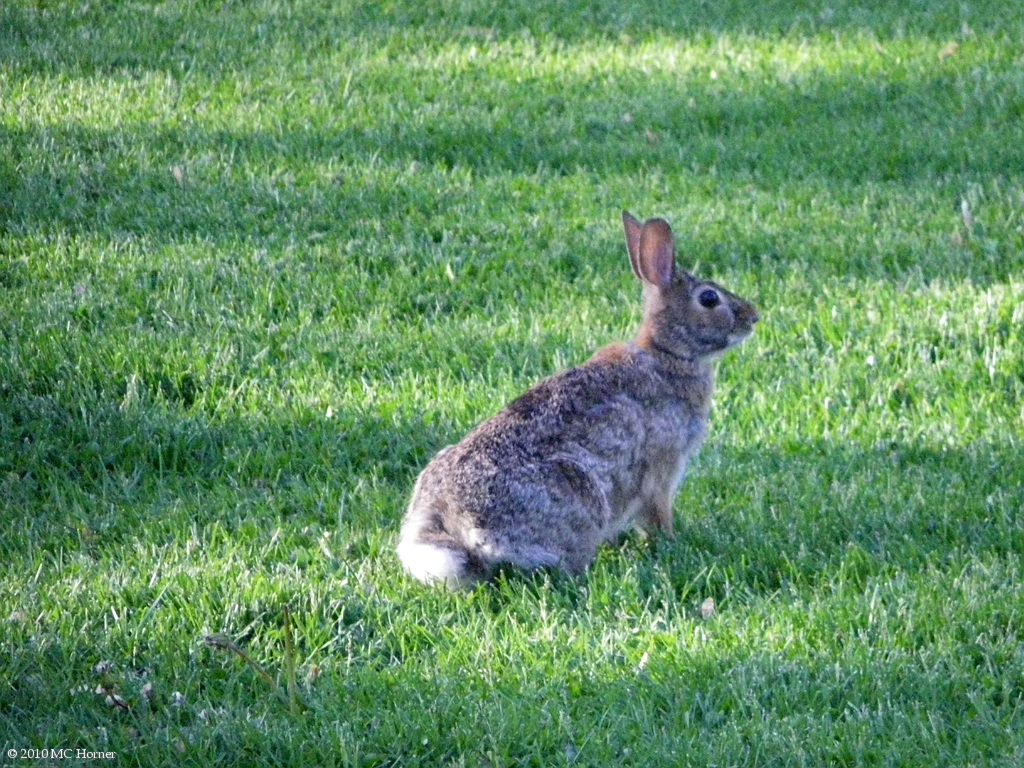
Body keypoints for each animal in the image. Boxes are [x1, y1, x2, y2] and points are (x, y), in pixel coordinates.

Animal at [395, 210, 757, 589]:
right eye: (709, 299)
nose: (753, 316)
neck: (668, 353)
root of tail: (447, 519)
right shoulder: (662, 469)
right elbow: (657, 514)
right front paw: (669, 542)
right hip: (578, 490)